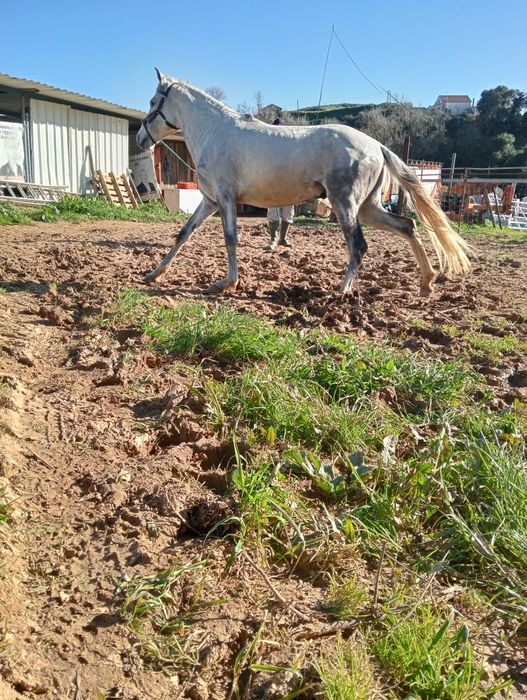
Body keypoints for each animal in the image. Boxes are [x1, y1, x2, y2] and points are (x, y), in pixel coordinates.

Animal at [136, 69, 470, 297]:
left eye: (153, 101)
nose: (140, 139)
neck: (214, 132)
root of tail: (377, 145)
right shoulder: (210, 201)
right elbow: (183, 234)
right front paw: (154, 274)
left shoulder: (226, 199)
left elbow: (231, 239)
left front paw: (226, 283)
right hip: (368, 207)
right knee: (408, 226)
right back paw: (426, 283)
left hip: (345, 204)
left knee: (359, 245)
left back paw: (342, 291)